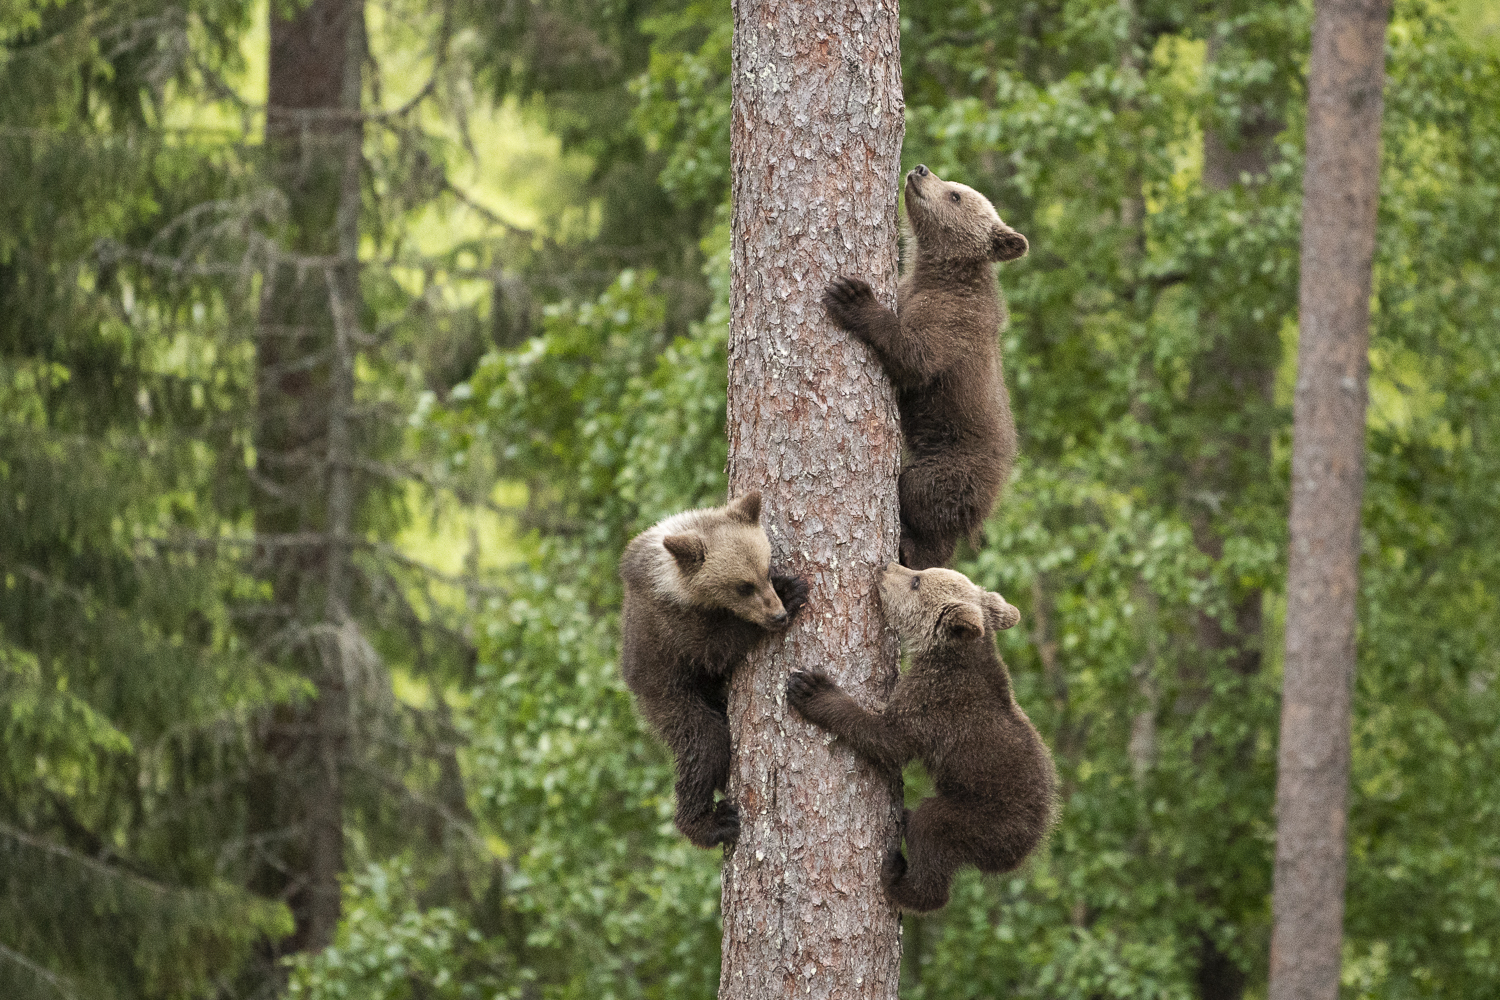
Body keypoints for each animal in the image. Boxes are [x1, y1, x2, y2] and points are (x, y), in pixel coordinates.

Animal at [619, 492, 809, 848]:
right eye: (743, 586)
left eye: (764, 570)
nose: (777, 616)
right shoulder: (673, 627)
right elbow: (715, 648)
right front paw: (792, 592)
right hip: (670, 697)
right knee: (703, 745)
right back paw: (709, 822)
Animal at [786, 562, 1055, 912]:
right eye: (920, 571)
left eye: (916, 580)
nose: (886, 566)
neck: (943, 653)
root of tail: (1027, 848)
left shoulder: (932, 705)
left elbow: (886, 738)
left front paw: (812, 689)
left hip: (984, 819)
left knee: (933, 833)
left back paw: (898, 876)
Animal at [822, 164, 1029, 570]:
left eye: (956, 195)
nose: (920, 170)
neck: (940, 274)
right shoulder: (913, 293)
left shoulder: (954, 323)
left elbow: (916, 358)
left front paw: (854, 296)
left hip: (955, 468)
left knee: (919, 495)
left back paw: (911, 548)